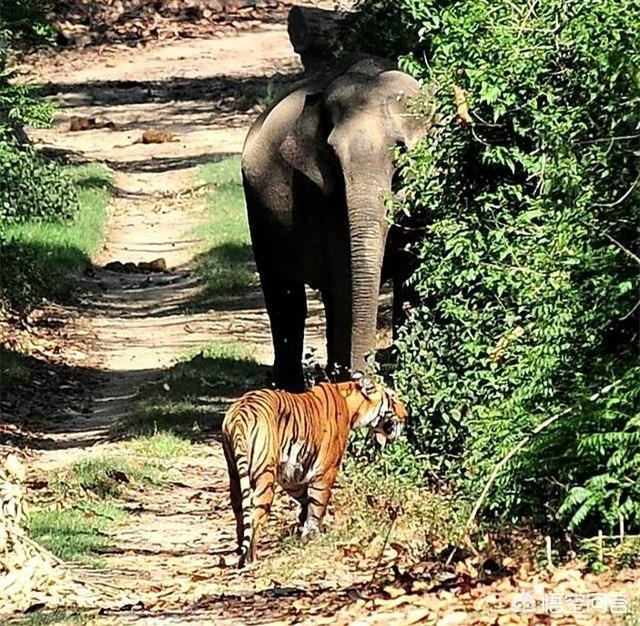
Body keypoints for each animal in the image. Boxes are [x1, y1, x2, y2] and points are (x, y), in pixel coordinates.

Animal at [222, 370, 408, 564]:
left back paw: (240, 551)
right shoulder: (326, 471)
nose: (407, 415)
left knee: (240, 512)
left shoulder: (290, 474)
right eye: (392, 399)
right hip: (265, 475)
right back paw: (251, 558)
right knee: (255, 516)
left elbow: (305, 497)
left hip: (234, 473)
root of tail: (240, 413)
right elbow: (318, 504)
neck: (352, 406)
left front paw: (303, 523)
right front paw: (311, 535)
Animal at [240, 58, 430, 390]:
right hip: (258, 211)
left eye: (400, 150)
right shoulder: (323, 198)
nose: (365, 380)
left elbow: (410, 275)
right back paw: (293, 388)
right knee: (286, 297)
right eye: (331, 154)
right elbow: (345, 277)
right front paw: (351, 383)